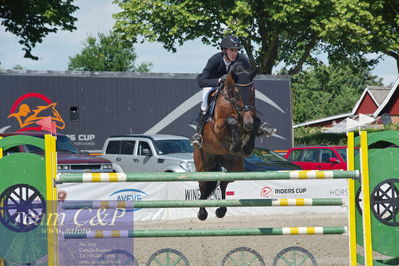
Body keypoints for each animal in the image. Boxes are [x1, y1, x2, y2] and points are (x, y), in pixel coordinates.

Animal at [195, 64, 260, 220]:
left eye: (252, 91)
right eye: (236, 92)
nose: (247, 122)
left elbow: (256, 122)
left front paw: (246, 147)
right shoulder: (217, 127)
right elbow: (230, 121)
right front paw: (236, 144)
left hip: (235, 167)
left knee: (224, 183)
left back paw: (221, 210)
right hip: (202, 166)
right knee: (203, 186)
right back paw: (202, 213)